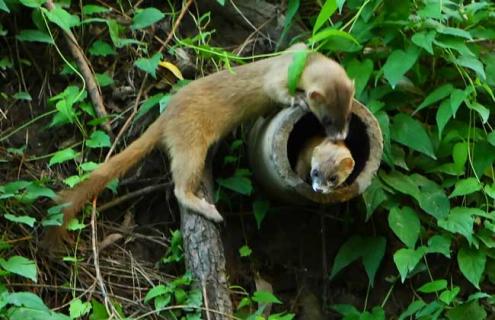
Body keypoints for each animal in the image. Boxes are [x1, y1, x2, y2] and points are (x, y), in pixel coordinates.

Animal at [46, 43, 354, 245]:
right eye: (327, 119)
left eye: (348, 113)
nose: (340, 137)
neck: (298, 61)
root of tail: (167, 114)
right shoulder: (274, 76)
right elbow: (276, 90)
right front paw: (297, 99)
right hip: (190, 143)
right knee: (180, 187)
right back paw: (209, 210)